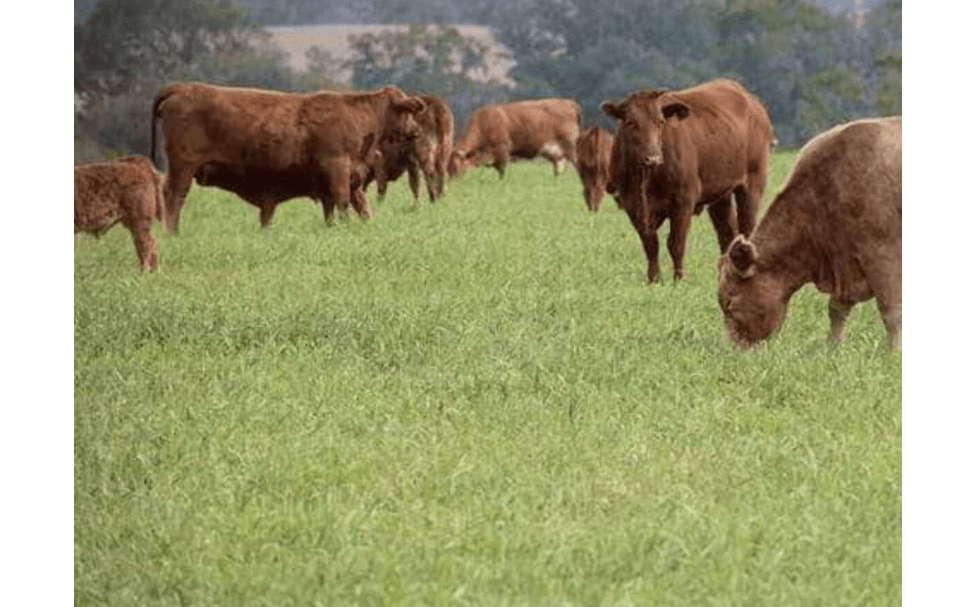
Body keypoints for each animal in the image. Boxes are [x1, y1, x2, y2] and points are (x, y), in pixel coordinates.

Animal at [150, 82, 426, 234]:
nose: (416, 130)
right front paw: (345, 226)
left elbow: (358, 205)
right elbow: (342, 200)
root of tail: (182, 87)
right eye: (408, 113)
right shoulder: (337, 166)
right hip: (183, 165)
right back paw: (173, 233)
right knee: (174, 196)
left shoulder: (350, 175)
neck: (361, 115)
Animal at [447, 98, 581, 179]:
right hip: (556, 153)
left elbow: (501, 170)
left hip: (571, 147)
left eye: (456, 166)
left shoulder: (502, 149)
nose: (454, 181)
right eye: (448, 168)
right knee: (559, 167)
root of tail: (569, 103)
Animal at [601, 78, 773, 282]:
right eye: (630, 123)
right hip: (720, 194)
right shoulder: (632, 204)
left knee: (747, 227)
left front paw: (678, 280)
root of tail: (751, 100)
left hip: (753, 183)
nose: (653, 158)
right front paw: (654, 280)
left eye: (660, 122)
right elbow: (650, 244)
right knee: (727, 235)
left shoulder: (683, 201)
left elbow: (676, 243)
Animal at [717, 116, 902, 351]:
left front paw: (894, 352)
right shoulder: (843, 261)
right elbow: (836, 310)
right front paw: (833, 347)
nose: (731, 350)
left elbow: (891, 312)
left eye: (730, 303)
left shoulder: (882, 255)